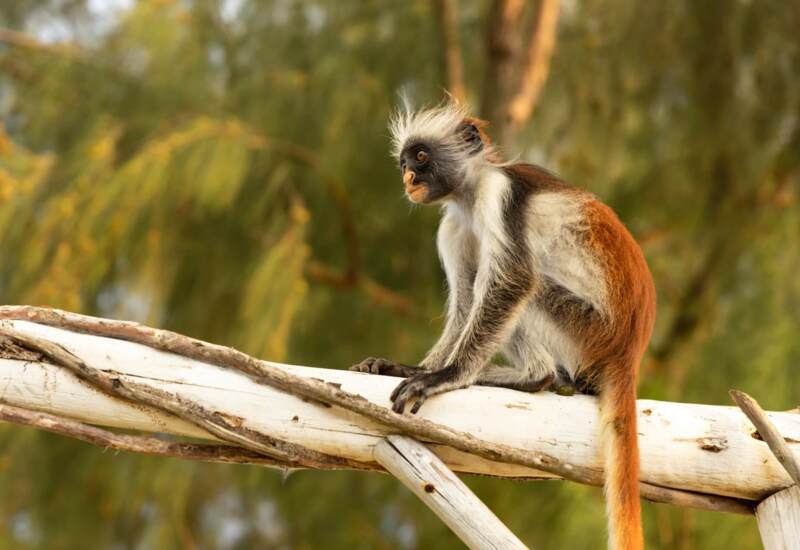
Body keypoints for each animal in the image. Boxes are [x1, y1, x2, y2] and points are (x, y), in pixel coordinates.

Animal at [351, 101, 656, 550]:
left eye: (420, 157)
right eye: (404, 162)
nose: (408, 177)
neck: (470, 192)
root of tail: (628, 351)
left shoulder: (500, 197)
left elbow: (512, 281)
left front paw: (443, 376)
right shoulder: (453, 224)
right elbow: (464, 304)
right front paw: (409, 368)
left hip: (586, 332)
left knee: (526, 285)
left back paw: (535, 376)